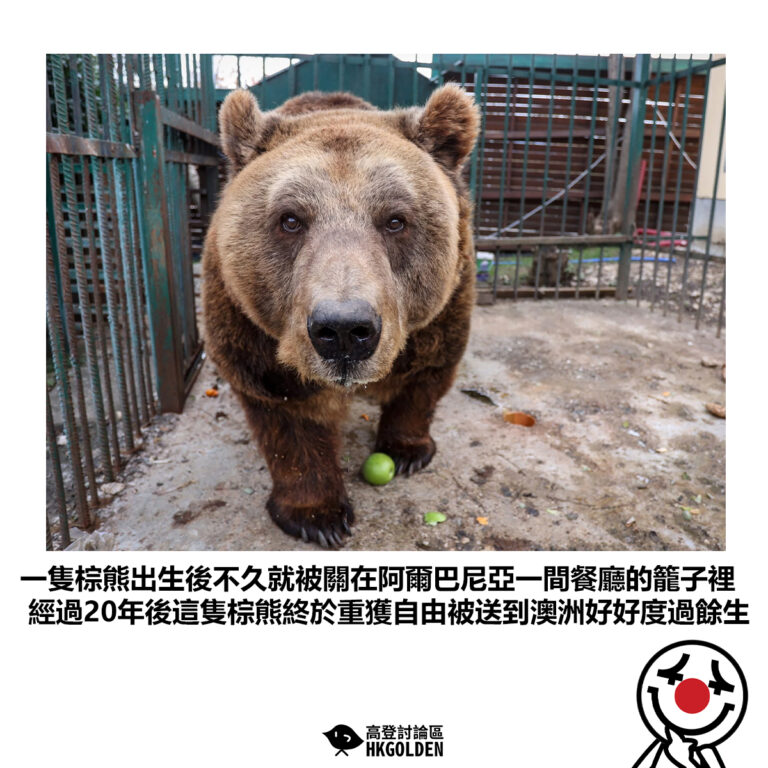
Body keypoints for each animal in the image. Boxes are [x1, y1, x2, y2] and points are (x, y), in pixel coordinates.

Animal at [201, 84, 479, 547]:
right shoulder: (252, 331)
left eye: (396, 219)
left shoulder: (443, 308)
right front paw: (318, 515)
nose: (345, 330)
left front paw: (407, 451)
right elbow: (286, 413)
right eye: (290, 219)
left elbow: (427, 373)